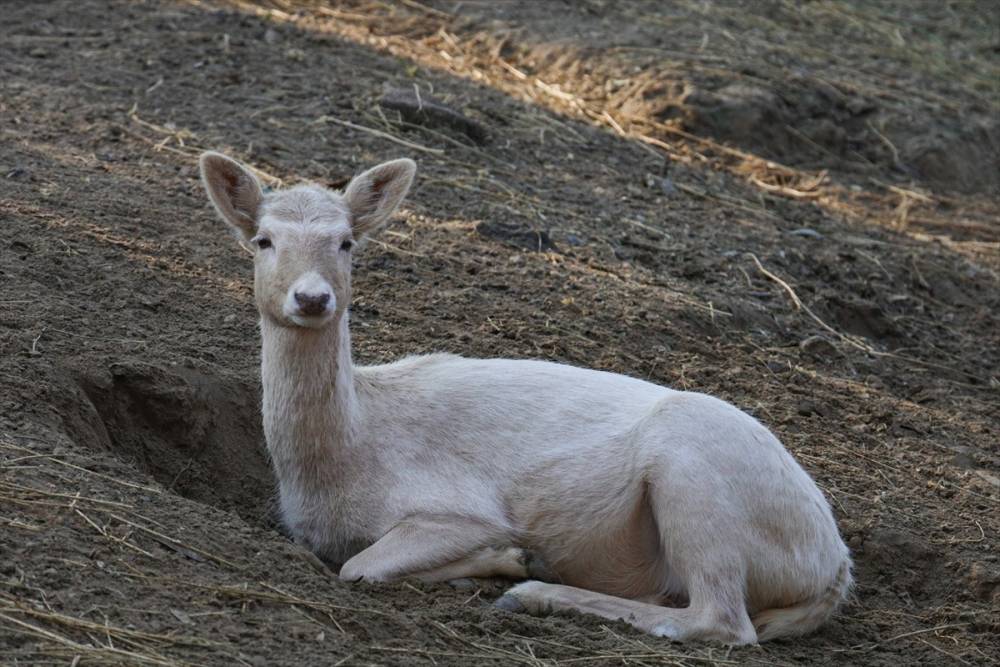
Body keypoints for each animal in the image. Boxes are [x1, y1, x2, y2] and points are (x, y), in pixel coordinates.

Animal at [201, 153, 852, 648]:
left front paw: (506, 558)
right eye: (263, 240)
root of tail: (836, 568)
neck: (342, 462)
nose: (312, 298)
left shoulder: (457, 507)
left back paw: (530, 593)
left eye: (346, 242)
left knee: (722, 620)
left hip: (696, 476)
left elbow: (360, 567)